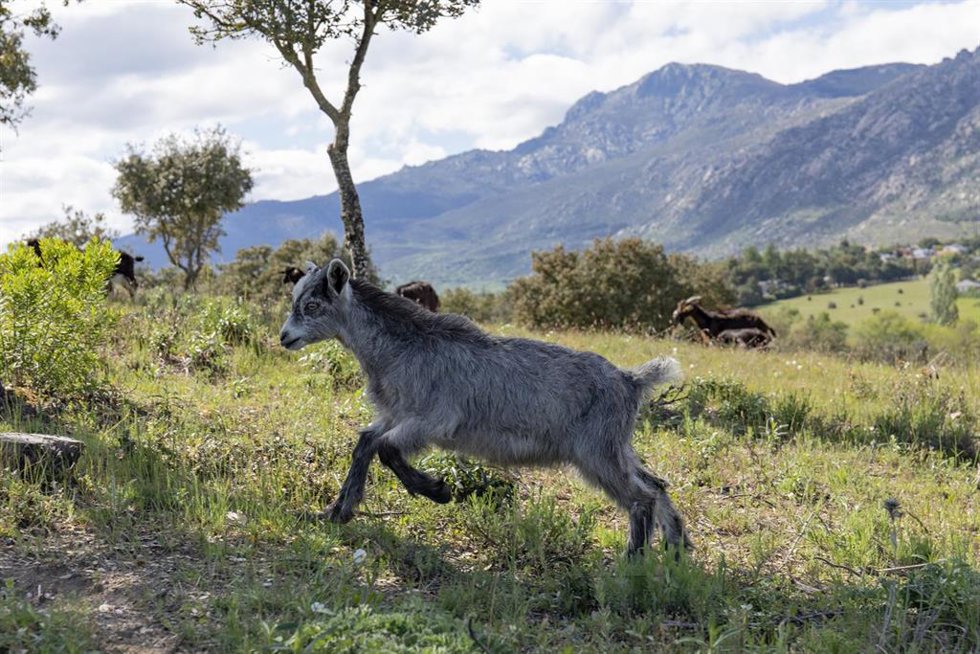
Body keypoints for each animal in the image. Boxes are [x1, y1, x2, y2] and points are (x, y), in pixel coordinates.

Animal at [280, 260, 690, 556]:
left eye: (312, 305)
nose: (285, 337)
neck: (402, 348)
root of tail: (630, 379)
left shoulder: (432, 421)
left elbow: (386, 449)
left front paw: (438, 491)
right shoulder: (393, 416)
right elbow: (366, 443)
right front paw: (338, 511)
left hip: (596, 453)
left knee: (641, 498)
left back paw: (633, 562)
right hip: (616, 447)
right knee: (657, 484)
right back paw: (677, 549)